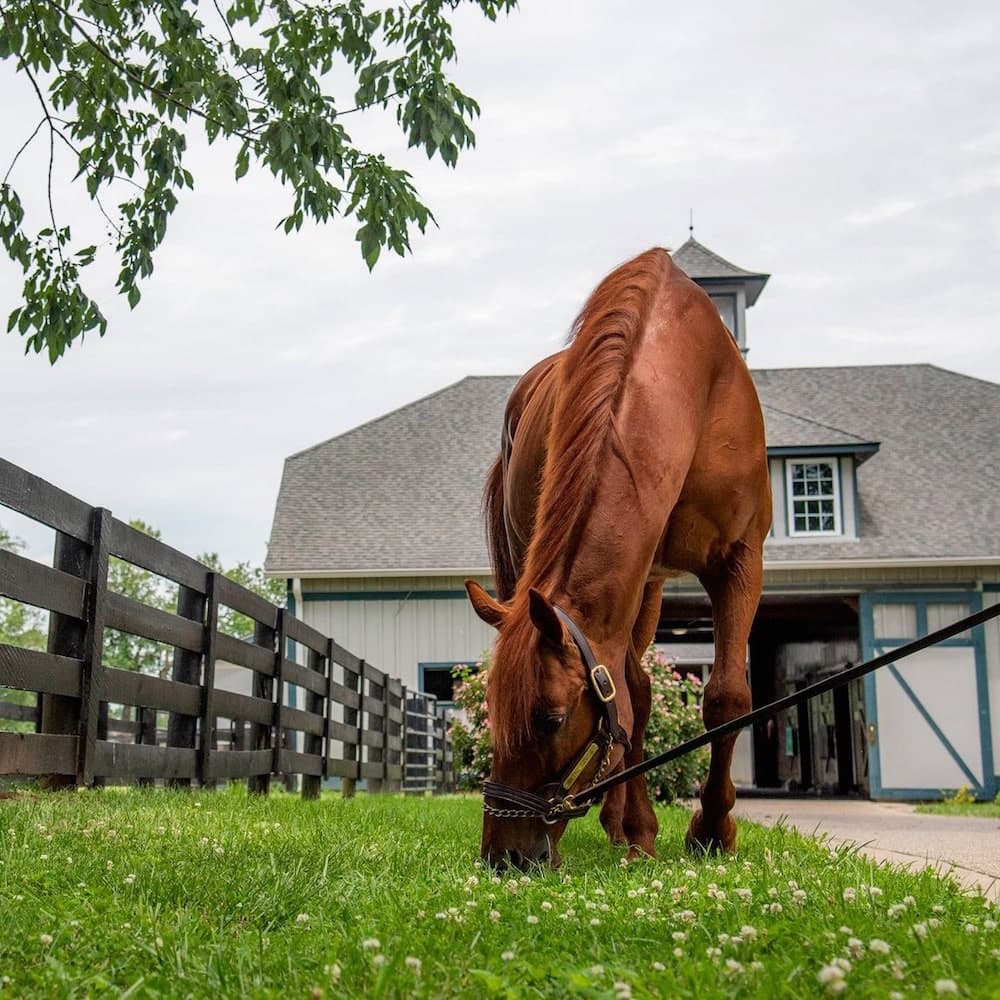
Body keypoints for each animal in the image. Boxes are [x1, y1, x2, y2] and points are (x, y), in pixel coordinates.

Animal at [465, 247, 771, 869]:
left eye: (551, 719)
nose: (503, 857)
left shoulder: (739, 560)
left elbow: (727, 696)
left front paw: (712, 830)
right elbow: (628, 699)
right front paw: (640, 828)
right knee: (637, 693)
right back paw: (628, 823)